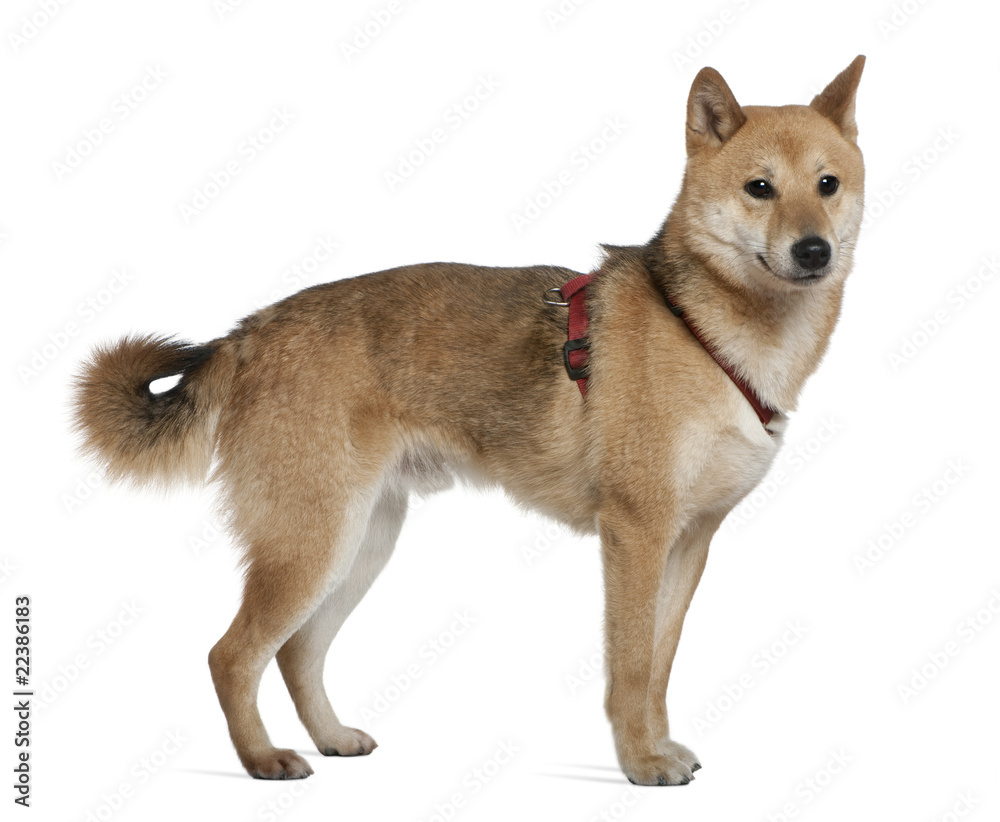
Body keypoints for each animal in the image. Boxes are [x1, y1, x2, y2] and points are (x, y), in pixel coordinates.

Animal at [72, 58, 868, 784]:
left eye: (827, 184)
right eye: (759, 187)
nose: (814, 251)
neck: (704, 329)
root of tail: (247, 334)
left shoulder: (688, 543)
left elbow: (659, 665)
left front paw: (657, 746)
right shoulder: (635, 536)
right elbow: (631, 668)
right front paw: (640, 763)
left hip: (359, 543)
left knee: (297, 652)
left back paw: (330, 738)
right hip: (311, 542)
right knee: (232, 655)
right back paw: (263, 758)